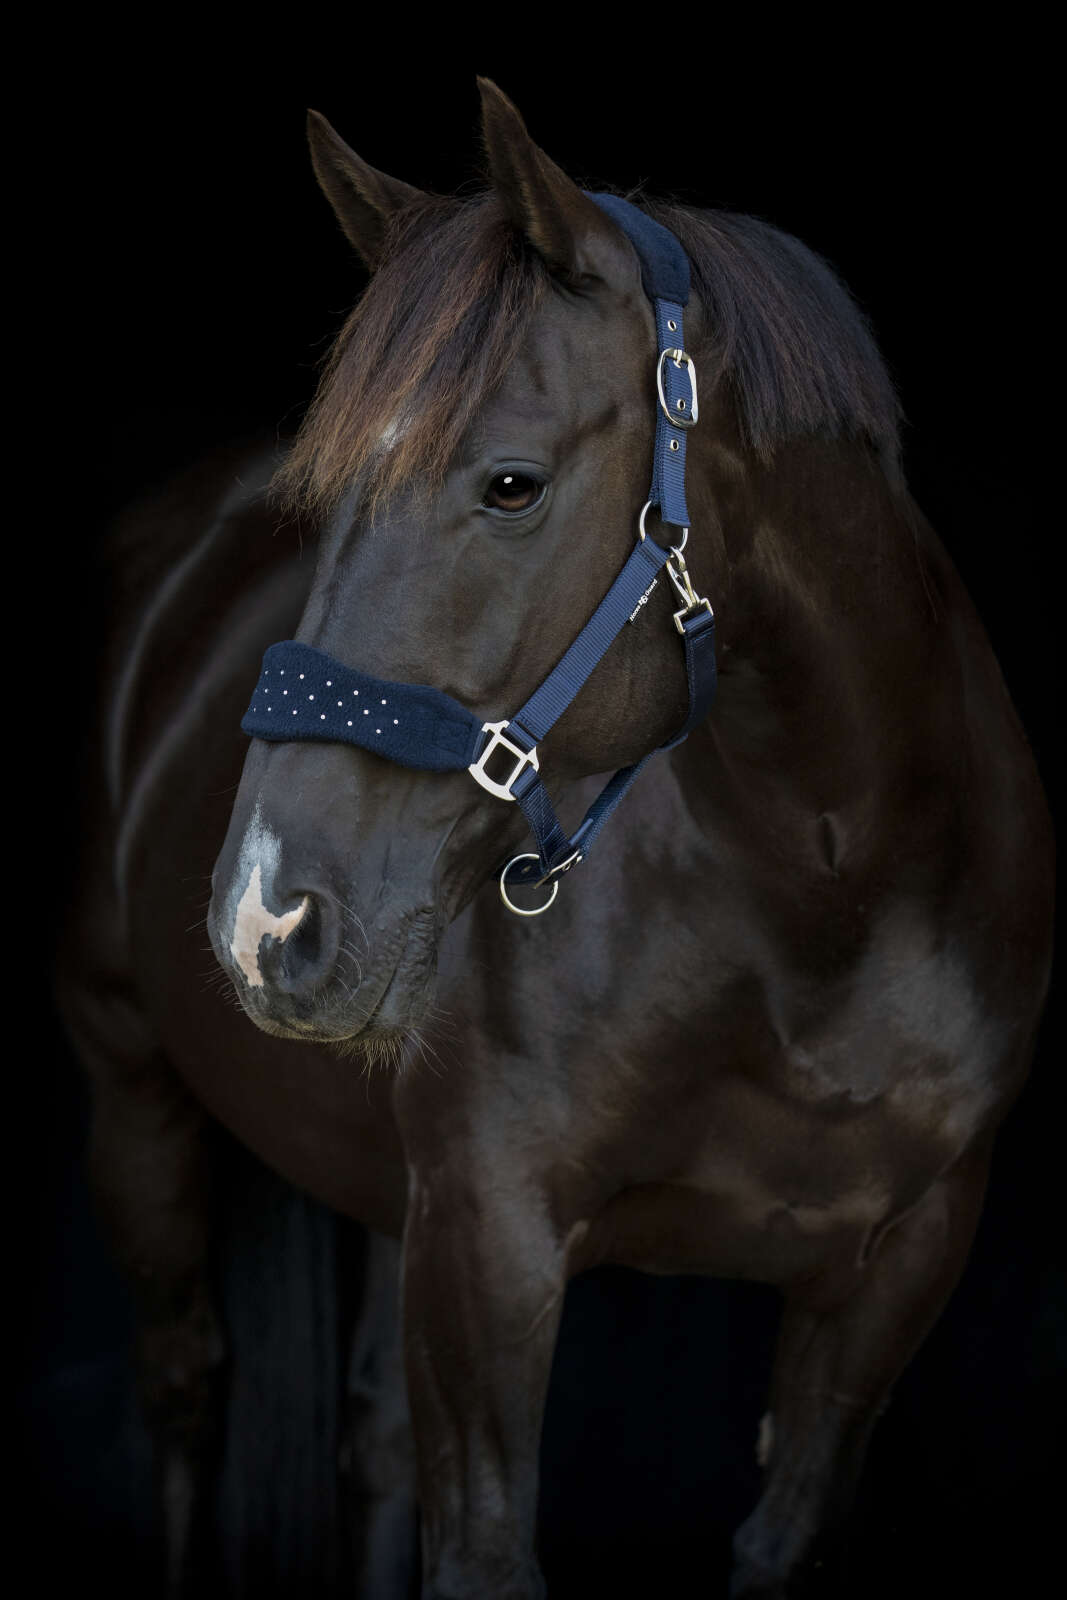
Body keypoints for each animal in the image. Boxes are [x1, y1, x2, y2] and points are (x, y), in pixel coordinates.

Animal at [58, 78, 1054, 1598]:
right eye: (321, 499)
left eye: (512, 485)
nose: (264, 920)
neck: (819, 898)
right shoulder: (486, 1246)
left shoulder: (895, 1272)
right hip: (133, 1090)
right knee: (183, 1386)